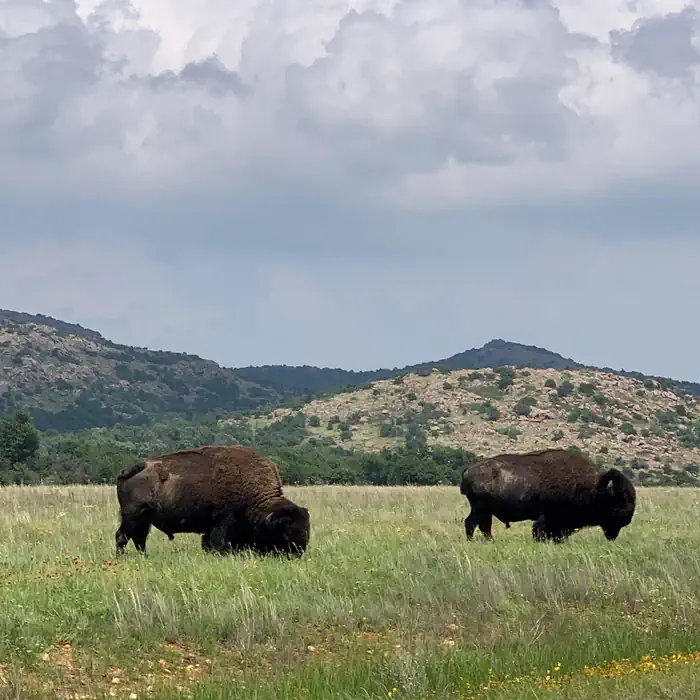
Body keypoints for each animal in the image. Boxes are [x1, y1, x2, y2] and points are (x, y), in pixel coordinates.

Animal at [115, 444, 310, 557]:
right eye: (286, 532)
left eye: (306, 529)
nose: (296, 554)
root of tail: (132, 469)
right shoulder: (223, 521)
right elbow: (218, 542)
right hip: (132, 516)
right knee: (122, 536)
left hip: (143, 519)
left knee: (139, 538)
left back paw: (144, 557)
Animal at [460, 448, 636, 542]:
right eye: (620, 501)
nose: (627, 519)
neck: (593, 488)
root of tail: (468, 470)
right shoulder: (549, 518)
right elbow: (540, 531)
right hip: (480, 508)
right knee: (474, 524)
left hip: (484, 510)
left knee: (480, 525)